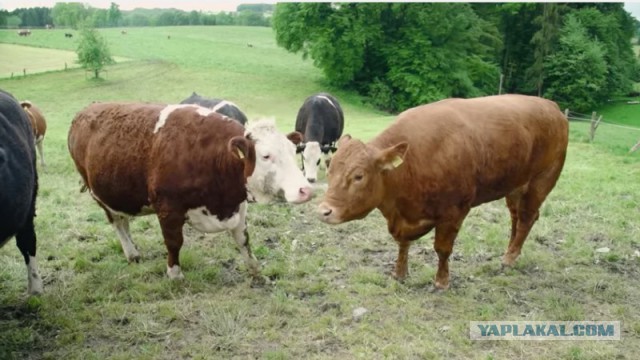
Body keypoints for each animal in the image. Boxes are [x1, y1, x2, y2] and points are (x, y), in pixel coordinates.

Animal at [67, 102, 312, 280]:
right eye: (266, 156)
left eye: (293, 151)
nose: (306, 190)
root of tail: (86, 110)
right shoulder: (167, 207)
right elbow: (174, 242)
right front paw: (175, 274)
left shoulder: (237, 207)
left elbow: (243, 240)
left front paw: (255, 271)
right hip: (97, 192)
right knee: (117, 222)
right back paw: (131, 252)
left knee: (123, 221)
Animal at [318, 95, 568, 290]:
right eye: (330, 169)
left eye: (358, 176)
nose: (324, 210)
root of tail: (552, 107)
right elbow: (403, 244)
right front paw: (399, 273)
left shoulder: (454, 212)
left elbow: (442, 249)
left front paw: (441, 281)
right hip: (515, 187)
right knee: (516, 218)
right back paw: (510, 251)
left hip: (541, 181)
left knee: (527, 218)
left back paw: (509, 257)